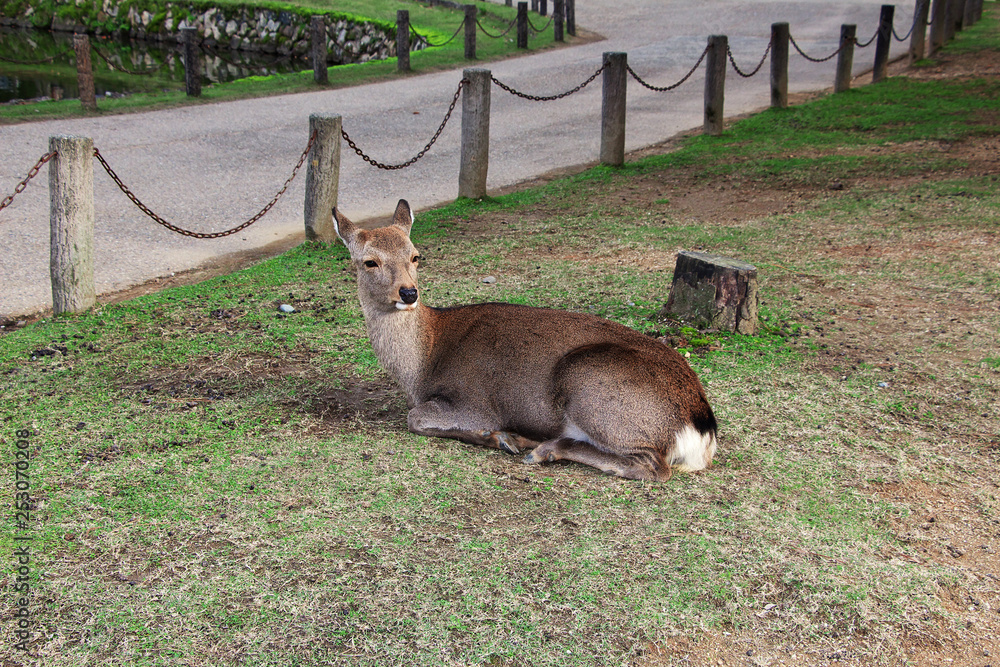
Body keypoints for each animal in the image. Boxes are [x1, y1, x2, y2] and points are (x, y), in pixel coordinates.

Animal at [336, 198, 720, 480]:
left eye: (416, 255)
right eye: (369, 262)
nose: (409, 292)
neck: (422, 363)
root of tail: (701, 425)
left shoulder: (475, 403)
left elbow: (414, 418)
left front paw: (499, 437)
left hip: (591, 383)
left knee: (655, 467)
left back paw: (544, 449)